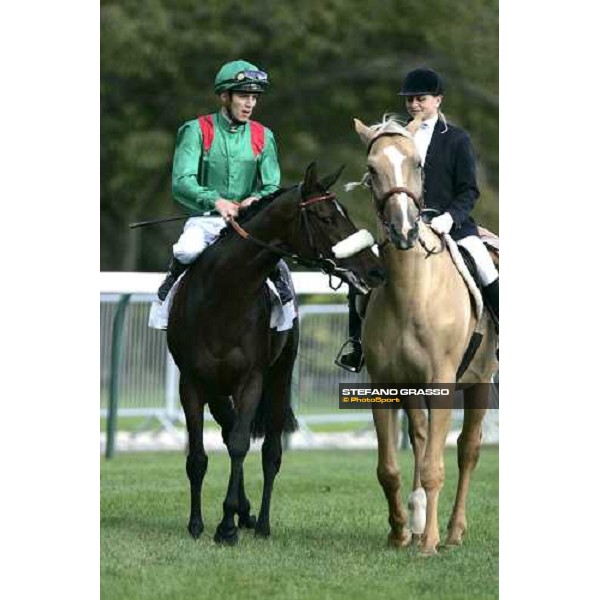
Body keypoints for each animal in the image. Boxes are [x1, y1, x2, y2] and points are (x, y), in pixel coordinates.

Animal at [168, 163, 384, 544]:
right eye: (327, 217)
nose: (374, 269)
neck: (222, 297)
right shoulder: (192, 381)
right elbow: (198, 456)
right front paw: (197, 523)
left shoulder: (251, 379)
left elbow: (242, 444)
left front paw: (226, 526)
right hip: (217, 389)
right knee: (227, 431)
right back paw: (245, 511)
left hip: (280, 375)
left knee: (270, 452)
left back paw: (261, 522)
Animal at [354, 115, 500, 556]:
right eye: (371, 170)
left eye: (417, 164)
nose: (403, 231)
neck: (412, 291)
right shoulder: (384, 386)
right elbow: (388, 468)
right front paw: (401, 532)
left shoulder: (442, 382)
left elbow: (437, 465)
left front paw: (429, 542)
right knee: (419, 437)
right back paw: (418, 522)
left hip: (480, 383)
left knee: (467, 450)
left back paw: (451, 532)